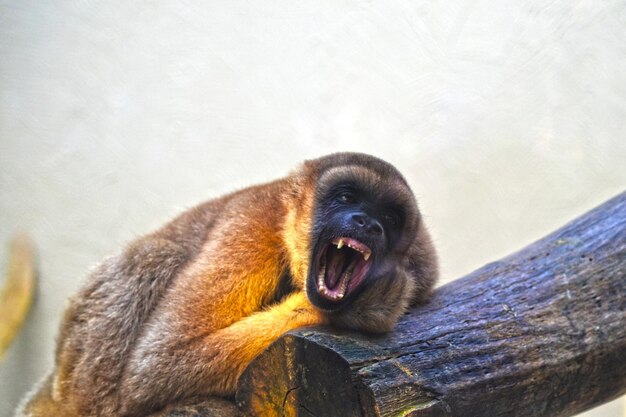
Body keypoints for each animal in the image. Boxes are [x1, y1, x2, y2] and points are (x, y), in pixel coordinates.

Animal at [17, 151, 436, 414]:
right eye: (347, 197)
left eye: (390, 218)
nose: (368, 223)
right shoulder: (249, 227)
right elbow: (156, 367)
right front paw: (370, 305)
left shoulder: (424, 264)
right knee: (154, 257)